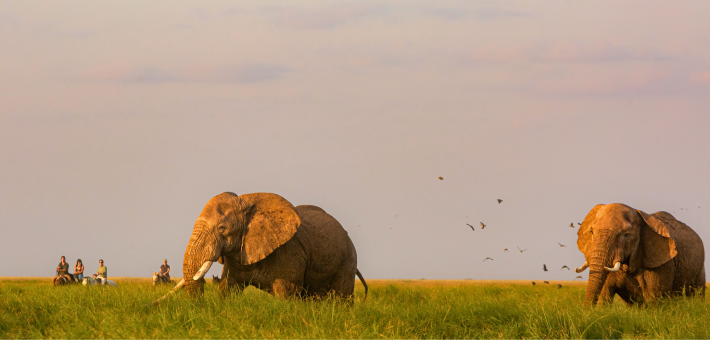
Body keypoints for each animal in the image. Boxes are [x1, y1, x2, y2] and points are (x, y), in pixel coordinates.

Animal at [154, 191, 368, 302]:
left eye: (222, 229)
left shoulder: (288, 253)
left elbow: (286, 294)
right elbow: (227, 289)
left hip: (348, 259)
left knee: (342, 298)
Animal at [580, 202, 708, 306]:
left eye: (626, 235)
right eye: (591, 232)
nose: (586, 312)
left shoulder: (661, 264)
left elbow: (654, 300)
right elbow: (604, 298)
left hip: (700, 271)